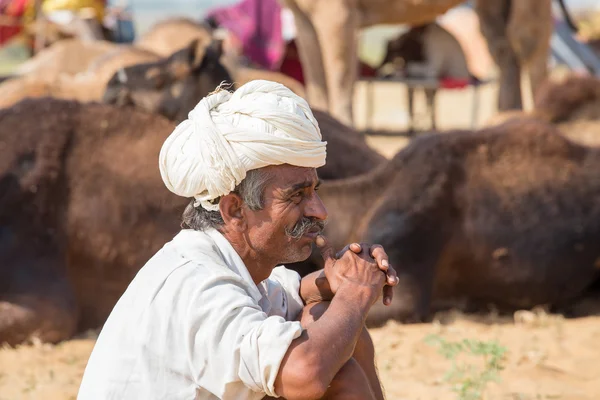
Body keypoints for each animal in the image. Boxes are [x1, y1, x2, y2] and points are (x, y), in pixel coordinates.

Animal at [282, 0, 552, 125]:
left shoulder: (338, 12)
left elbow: (340, 79)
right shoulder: (303, 15)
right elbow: (316, 81)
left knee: (531, 43)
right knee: (504, 47)